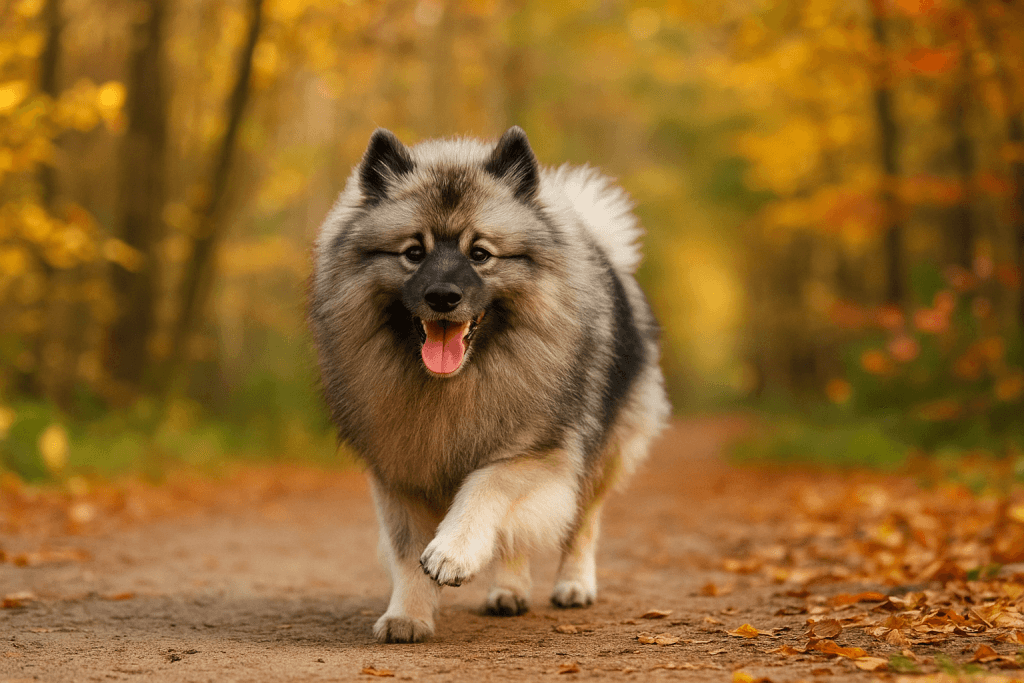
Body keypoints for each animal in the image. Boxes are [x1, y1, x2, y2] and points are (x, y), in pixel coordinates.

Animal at [309, 127, 669, 643]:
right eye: (413, 252)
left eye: (479, 254)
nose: (443, 296)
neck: (455, 383)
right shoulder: (401, 471)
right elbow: (407, 552)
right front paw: (409, 615)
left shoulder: (537, 453)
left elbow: (486, 486)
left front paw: (453, 551)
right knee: (515, 541)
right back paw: (509, 591)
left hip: (604, 453)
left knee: (582, 523)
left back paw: (574, 584)